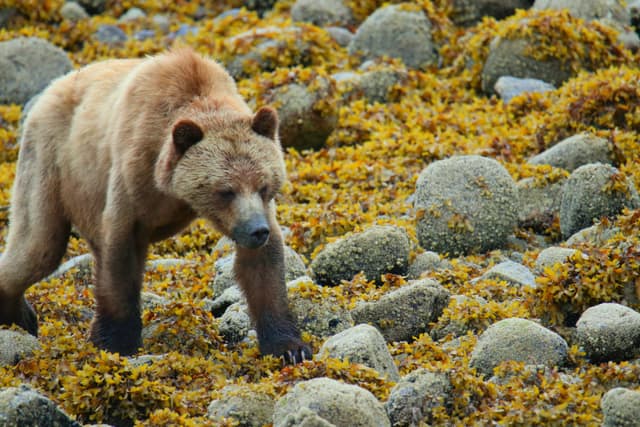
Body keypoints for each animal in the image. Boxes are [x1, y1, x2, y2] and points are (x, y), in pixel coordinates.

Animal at [0, 48, 310, 363]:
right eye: (225, 191)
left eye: (264, 185)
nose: (257, 230)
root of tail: (50, 89)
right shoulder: (132, 175)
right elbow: (120, 259)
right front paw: (116, 342)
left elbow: (263, 268)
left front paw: (289, 347)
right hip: (50, 162)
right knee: (38, 245)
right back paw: (19, 314)